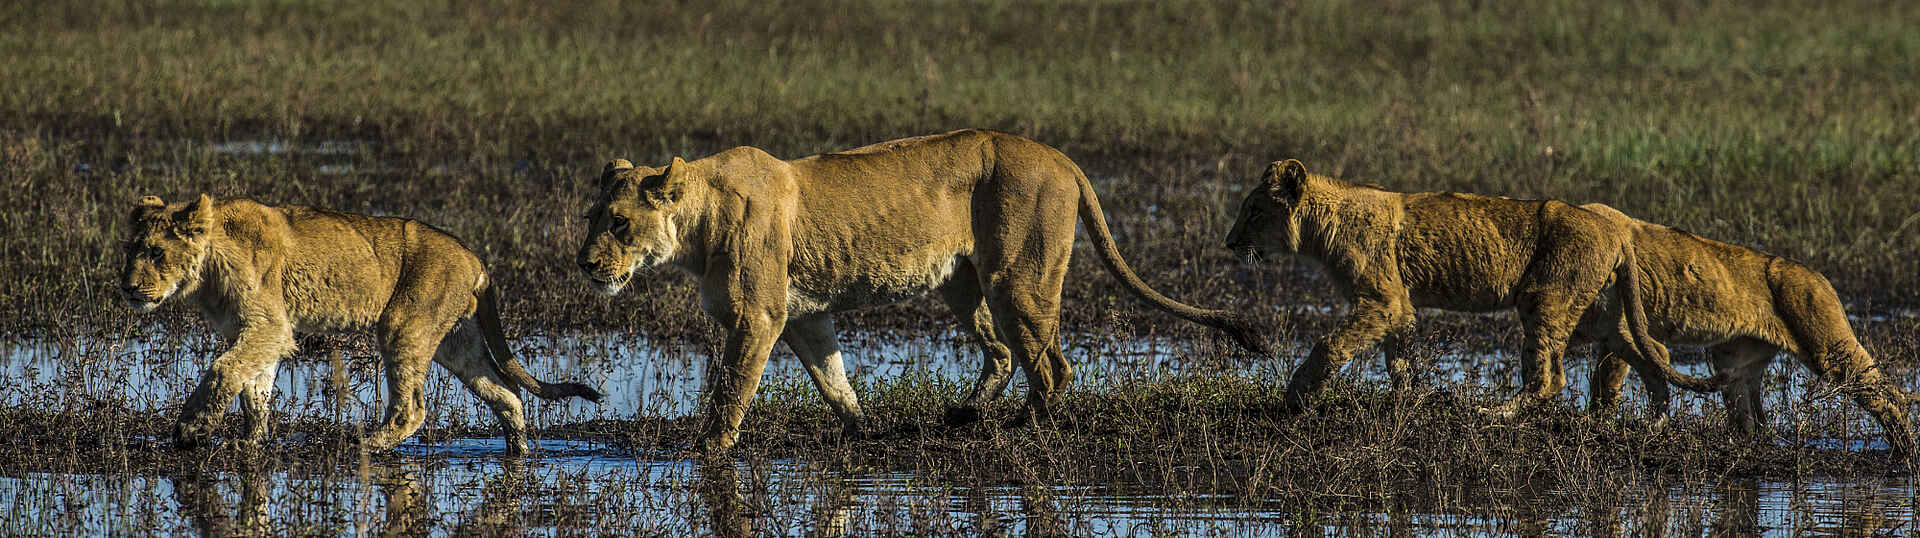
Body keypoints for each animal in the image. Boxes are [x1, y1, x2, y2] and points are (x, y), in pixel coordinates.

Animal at [118, 194, 603, 455]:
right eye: (130, 251)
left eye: (157, 253)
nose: (127, 288)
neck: (207, 267)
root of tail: (476, 259)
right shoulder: (255, 331)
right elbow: (253, 389)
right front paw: (251, 442)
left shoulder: (270, 325)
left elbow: (222, 372)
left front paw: (191, 430)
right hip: (456, 342)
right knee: (507, 393)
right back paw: (519, 451)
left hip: (403, 325)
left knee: (412, 409)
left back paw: (360, 446)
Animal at [574, 129, 1264, 453]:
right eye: (590, 218)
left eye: (619, 223)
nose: (583, 264)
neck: (695, 228)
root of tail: (1061, 157)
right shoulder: (802, 317)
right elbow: (834, 378)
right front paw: (863, 431)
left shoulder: (759, 318)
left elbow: (729, 393)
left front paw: (706, 451)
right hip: (963, 283)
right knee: (1004, 353)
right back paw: (963, 414)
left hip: (1017, 278)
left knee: (1053, 367)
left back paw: (1021, 429)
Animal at [1222, 159, 1722, 415]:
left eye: (1253, 211)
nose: (1228, 243)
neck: (1320, 228)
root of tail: (1617, 231)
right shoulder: (1399, 305)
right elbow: (1400, 360)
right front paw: (1409, 402)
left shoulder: (1380, 299)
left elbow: (1330, 345)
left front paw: (1295, 396)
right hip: (1598, 313)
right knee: (1651, 354)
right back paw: (1653, 421)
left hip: (1545, 298)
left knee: (1552, 377)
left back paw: (1493, 415)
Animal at [1573, 203, 1916, 456]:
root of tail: (1820, 277)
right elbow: (1602, 377)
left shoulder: (1620, 325)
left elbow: (1607, 381)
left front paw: (1598, 423)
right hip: (1734, 359)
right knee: (1750, 418)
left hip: (1829, 347)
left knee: (1888, 394)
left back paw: (1904, 450)